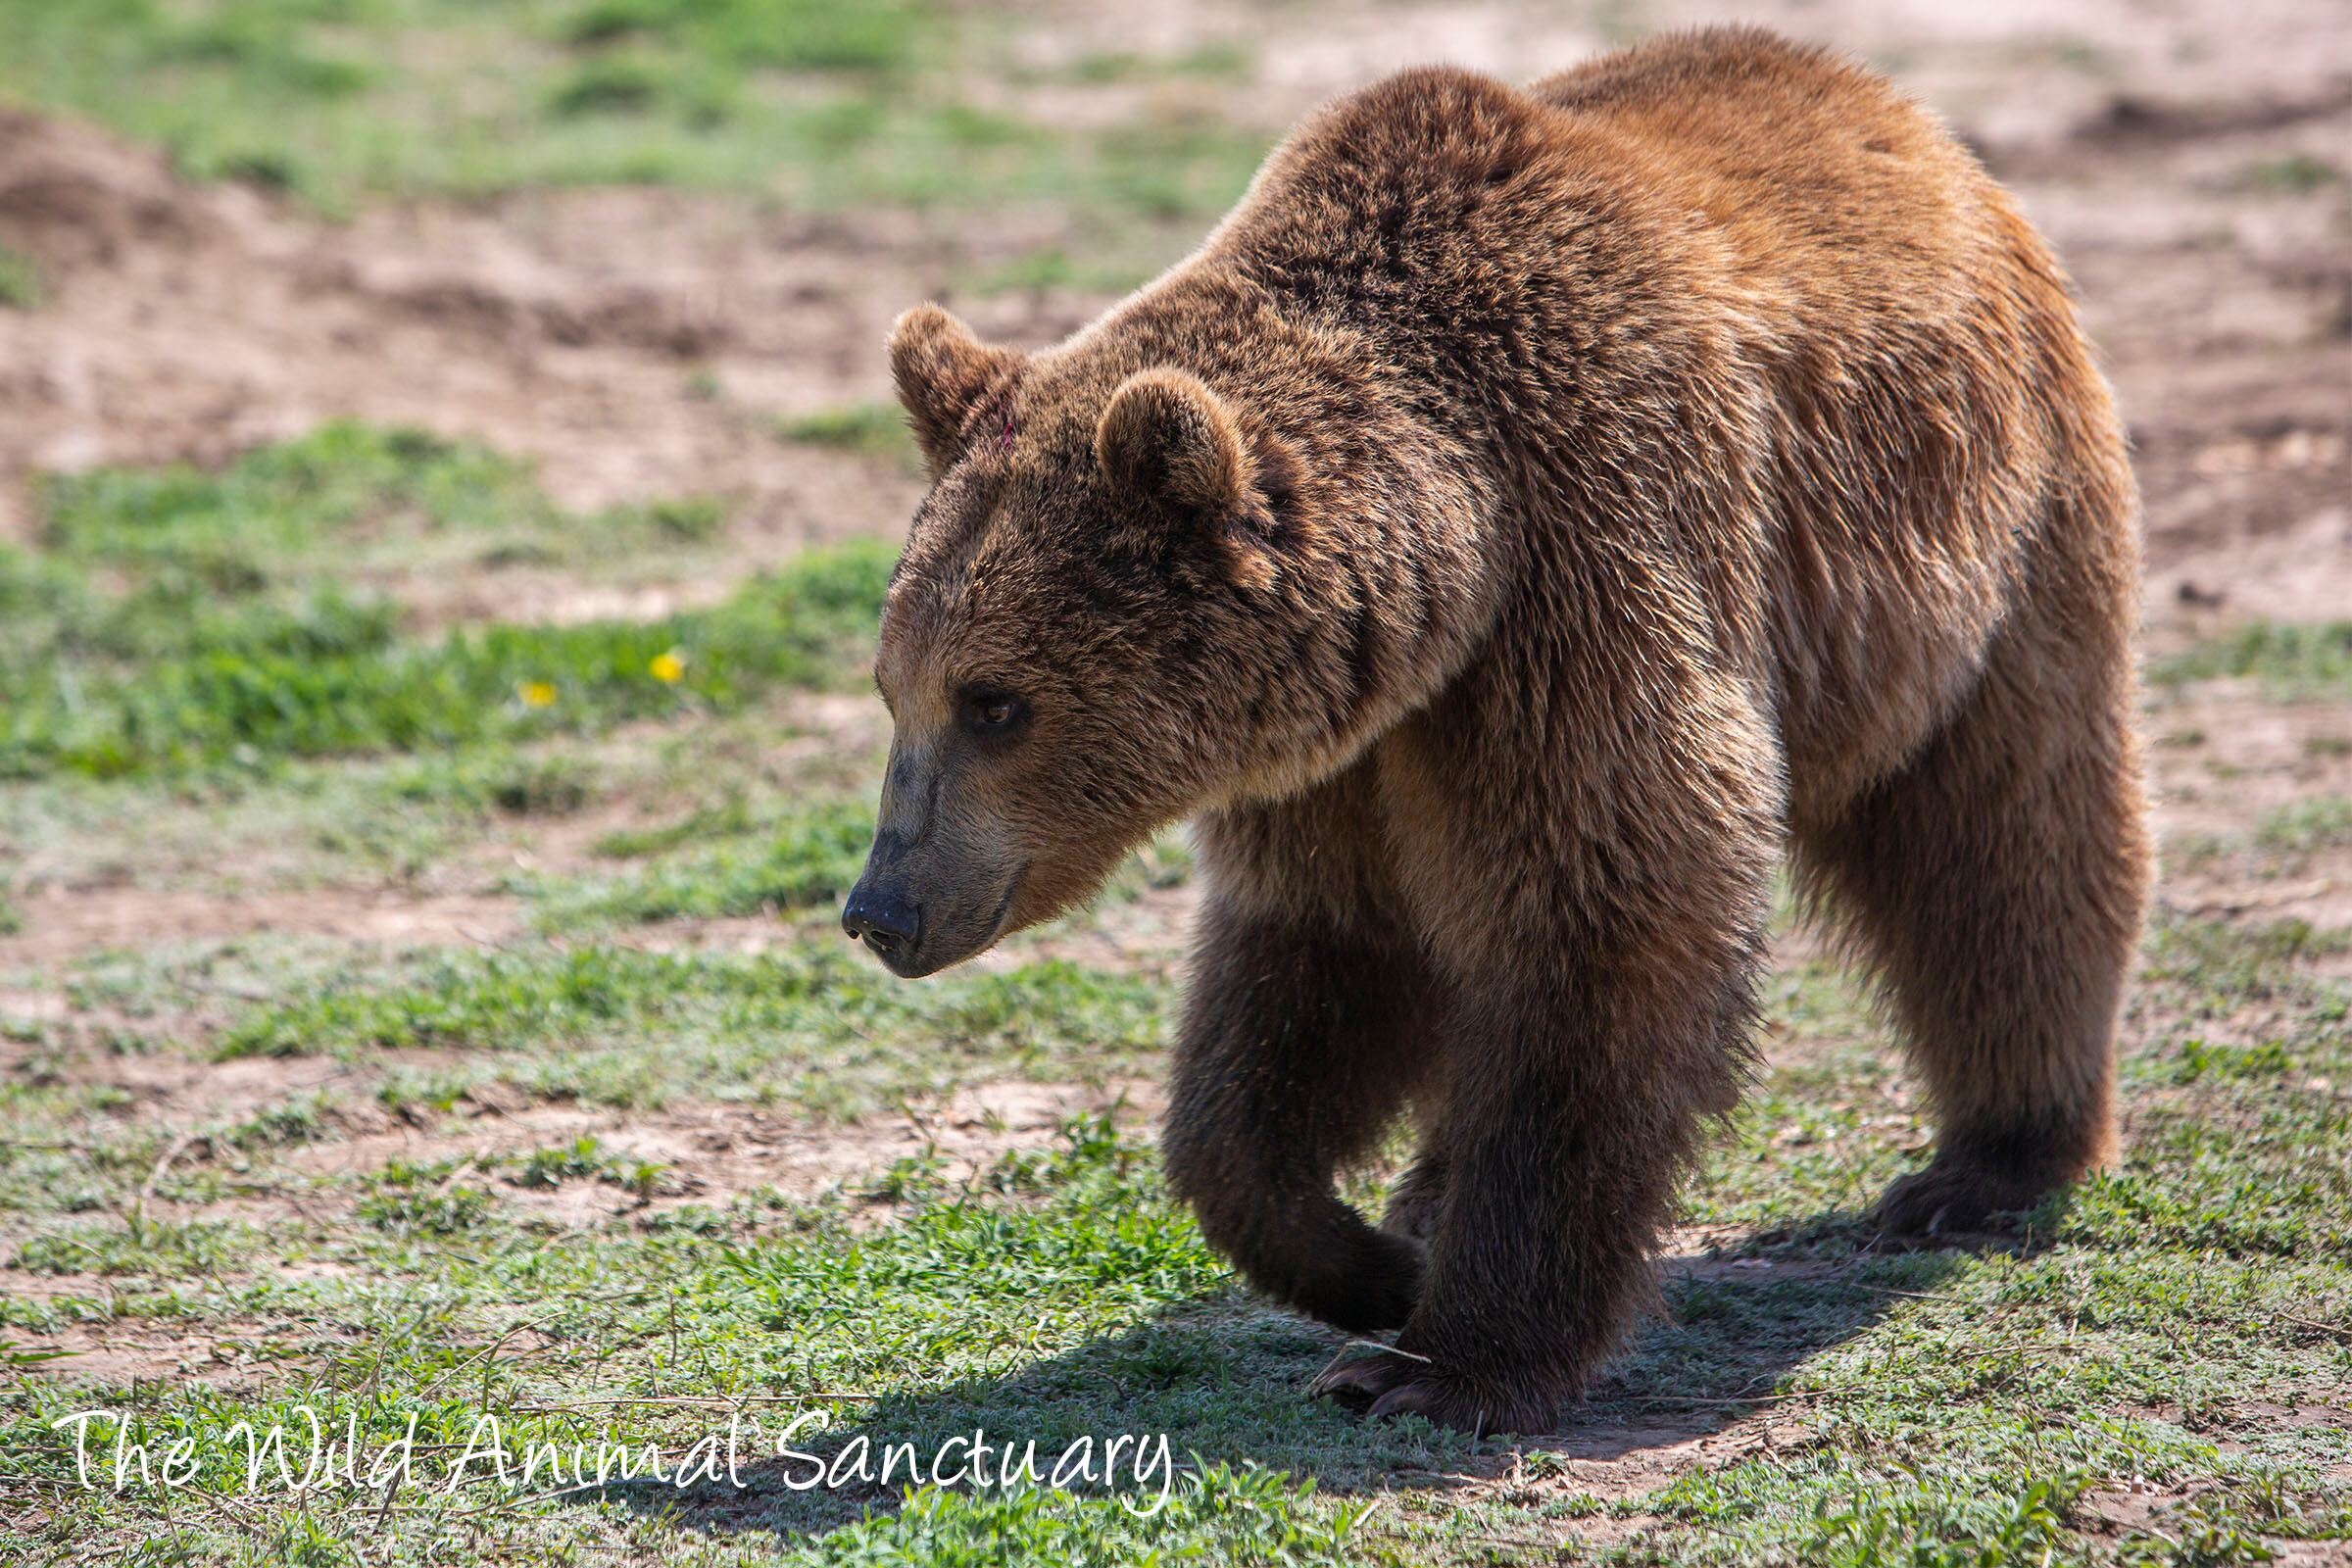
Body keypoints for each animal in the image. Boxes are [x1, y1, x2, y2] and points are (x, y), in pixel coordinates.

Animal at [847, 24, 2154, 1439]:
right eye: (893, 686)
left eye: (994, 701)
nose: (880, 906)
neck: (1449, 562)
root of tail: (1904, 117)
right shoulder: (1346, 740)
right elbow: (1317, 963)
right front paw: (1367, 1260)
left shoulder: (1582, 579)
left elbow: (1608, 918)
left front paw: (1443, 1357)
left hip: (1992, 546)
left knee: (2002, 835)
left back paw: (1989, 1160)